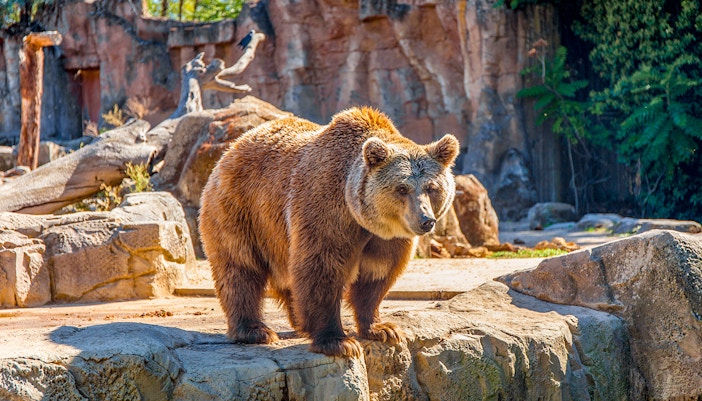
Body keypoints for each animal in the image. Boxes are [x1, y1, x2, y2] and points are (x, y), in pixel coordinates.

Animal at [199, 107, 459, 358]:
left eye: (431, 187)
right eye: (402, 188)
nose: (426, 220)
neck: (361, 216)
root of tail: (233, 147)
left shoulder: (388, 239)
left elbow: (377, 274)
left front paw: (383, 329)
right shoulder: (327, 211)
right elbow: (322, 267)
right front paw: (338, 341)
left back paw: (298, 321)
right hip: (241, 210)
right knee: (240, 268)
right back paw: (255, 330)